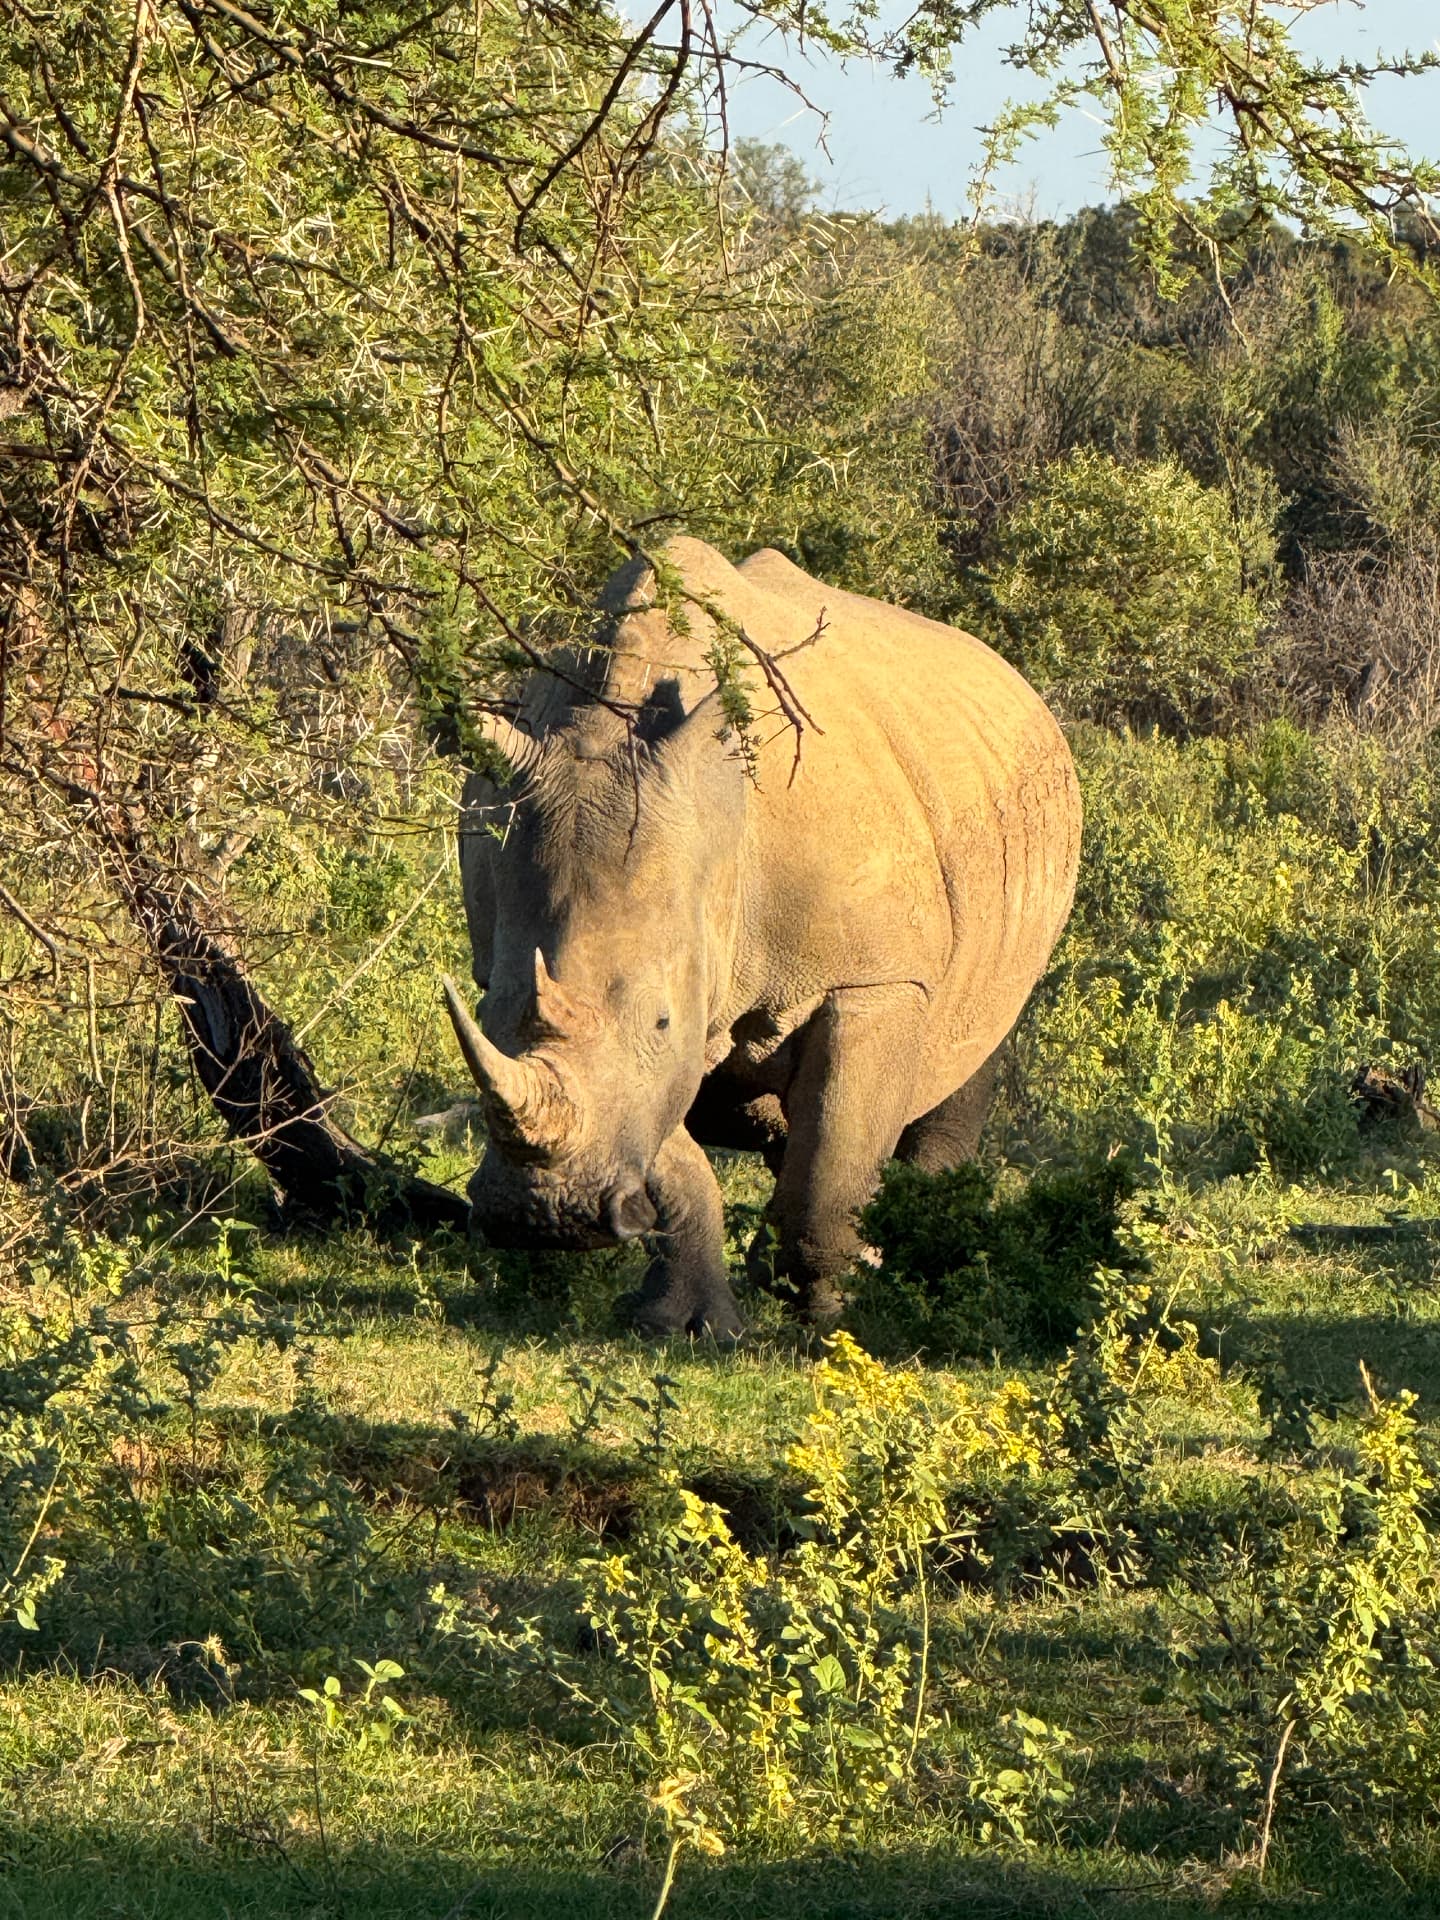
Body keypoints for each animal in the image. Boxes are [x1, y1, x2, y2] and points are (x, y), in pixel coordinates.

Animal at [444, 538, 1081, 1336]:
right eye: (484, 1010)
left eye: (661, 1019)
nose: (545, 1217)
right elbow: (674, 1150)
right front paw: (680, 1326)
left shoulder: (872, 978)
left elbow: (835, 1155)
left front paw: (832, 1319)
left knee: (967, 1044)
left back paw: (921, 1269)